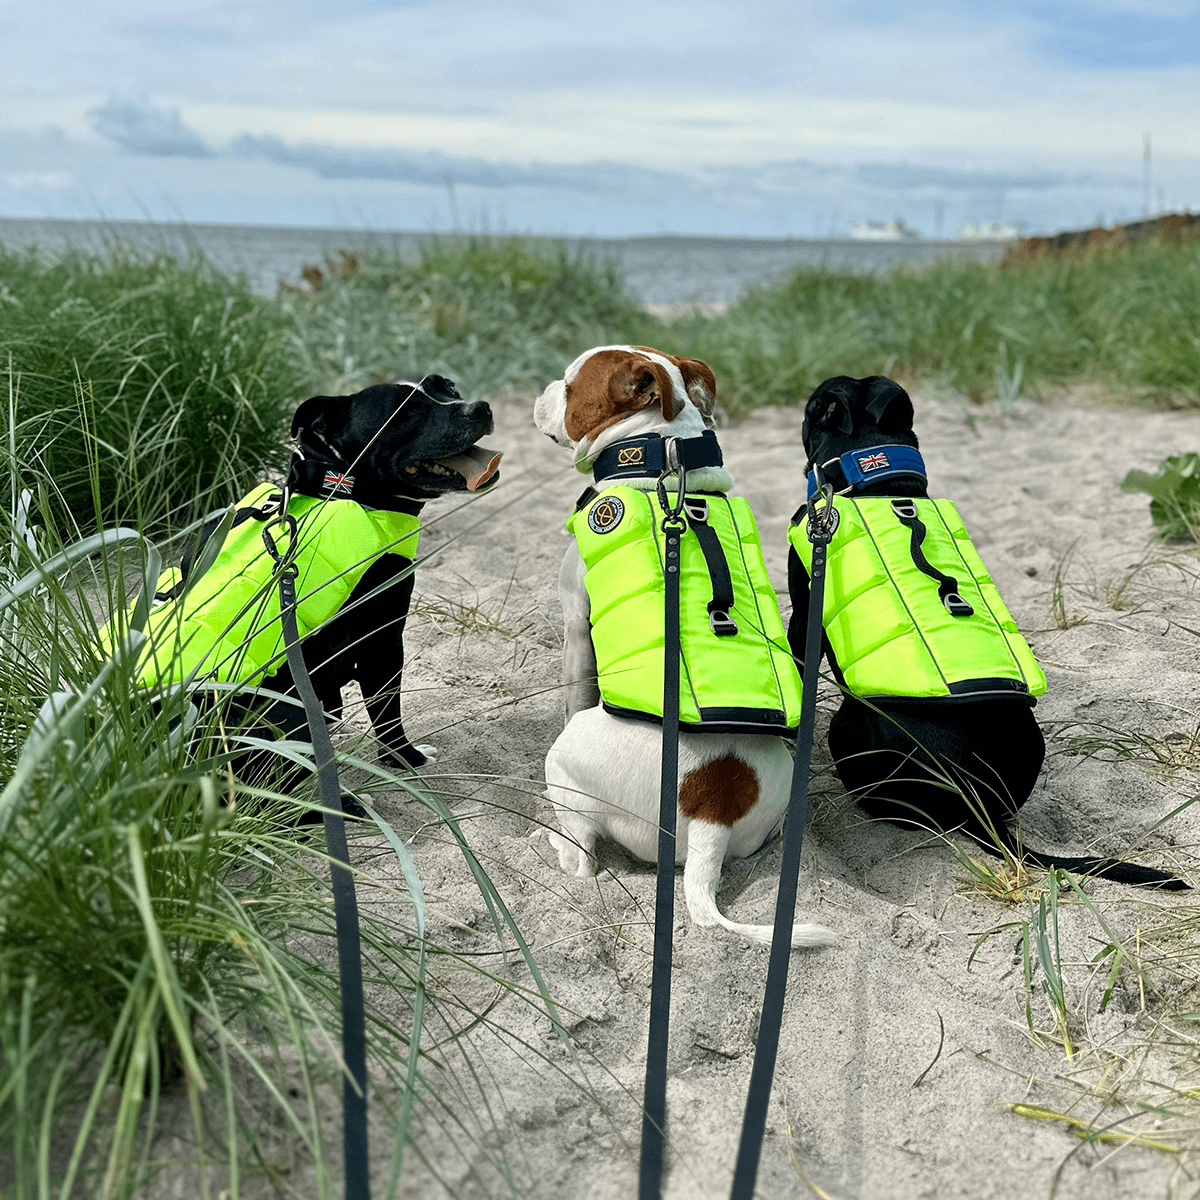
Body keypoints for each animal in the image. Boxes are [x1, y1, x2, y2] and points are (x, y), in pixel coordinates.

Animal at [535, 348, 835, 945]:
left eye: (570, 384)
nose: (543, 389)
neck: (659, 454)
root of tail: (713, 800)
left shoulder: (576, 626)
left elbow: (575, 689)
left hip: (569, 766)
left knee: (583, 858)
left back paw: (555, 847)